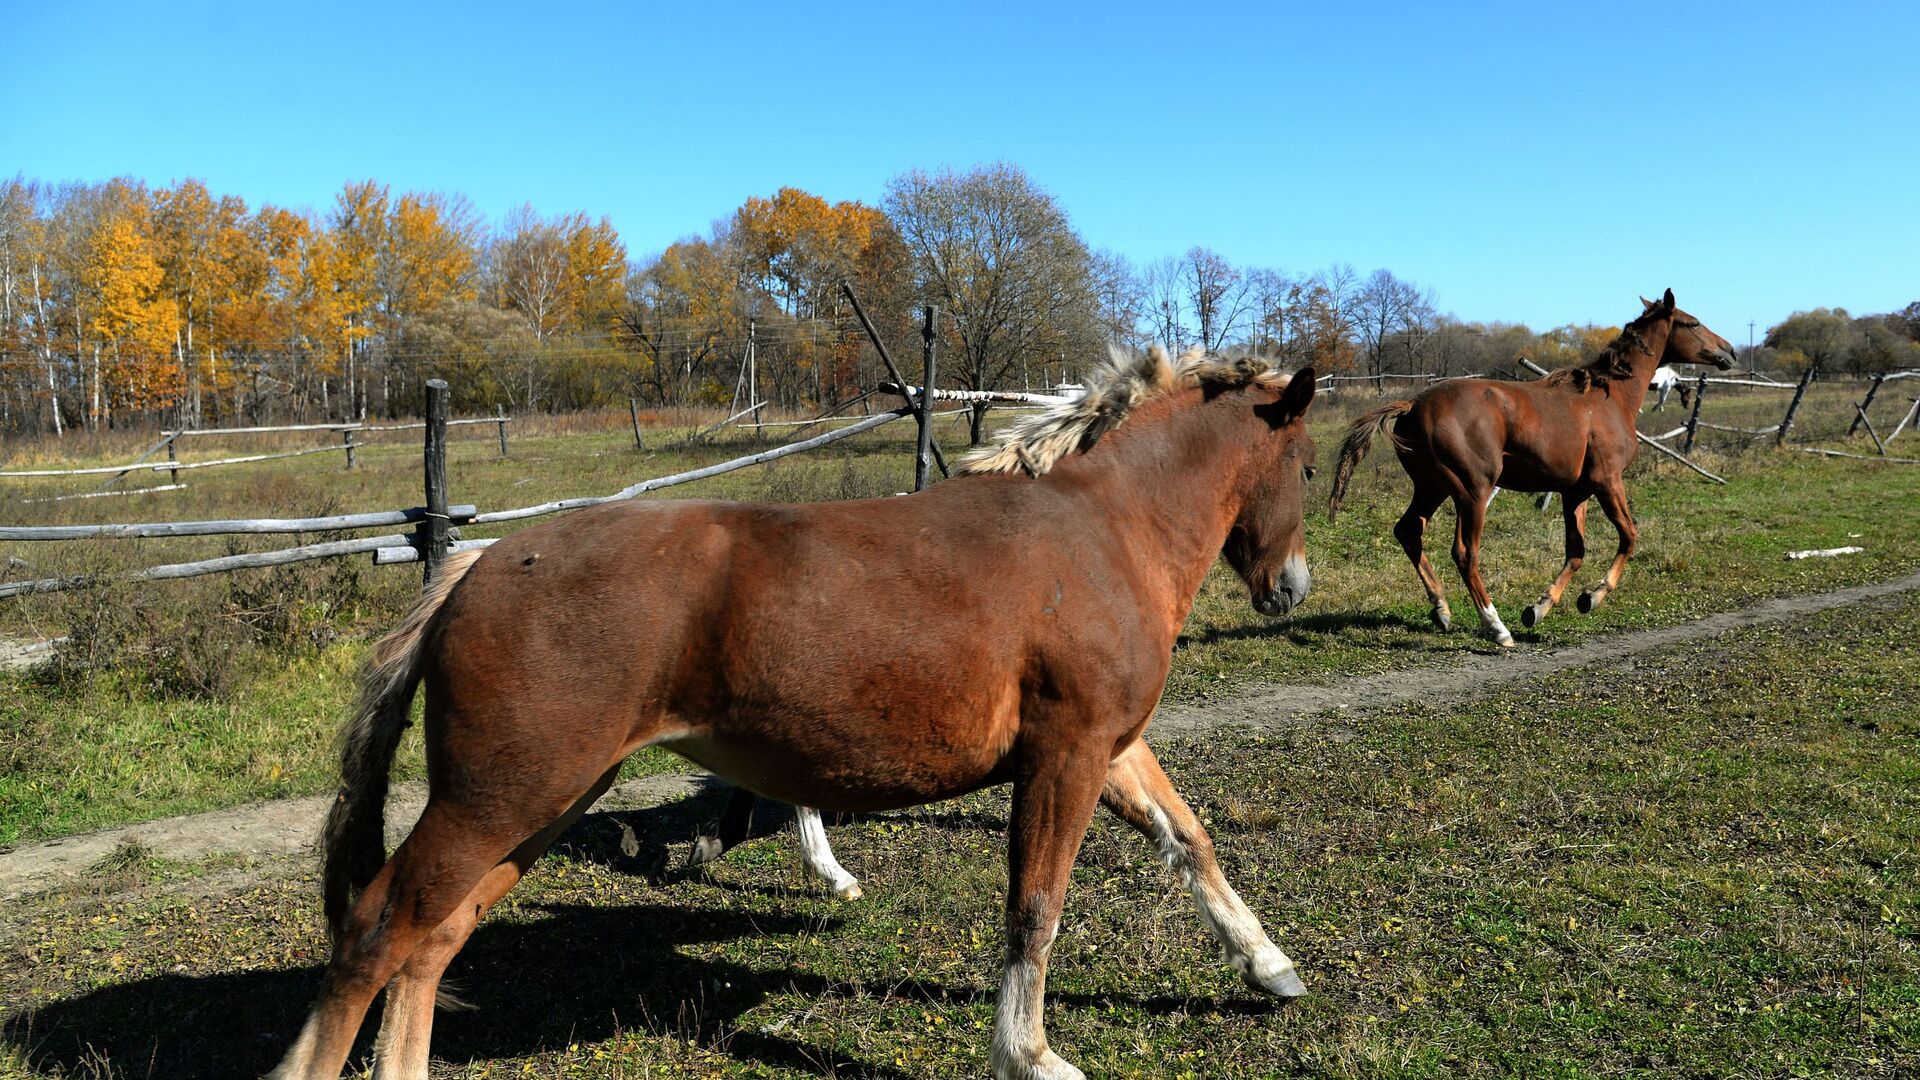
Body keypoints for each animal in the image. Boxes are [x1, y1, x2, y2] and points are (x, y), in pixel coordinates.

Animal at [270, 343, 1320, 1076]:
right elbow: (1036, 909)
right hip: (500, 799)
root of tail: (473, 570)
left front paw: (1269, 968)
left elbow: (1190, 842)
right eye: (1308, 468)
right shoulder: (1066, 755)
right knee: (373, 936)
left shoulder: (1112, 748)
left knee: (430, 944)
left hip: (538, 803)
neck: (1099, 528)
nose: (1291, 588)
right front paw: (1028, 1055)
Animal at [1328, 286, 1735, 641]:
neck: (1610, 397)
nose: (1728, 351)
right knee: (1465, 553)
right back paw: (1496, 628)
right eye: (1694, 323)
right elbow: (1629, 535)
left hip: (1432, 487)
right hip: (1472, 491)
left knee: (1409, 531)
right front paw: (1591, 598)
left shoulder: (1575, 492)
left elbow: (1576, 552)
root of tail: (1412, 405)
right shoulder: (1607, 480)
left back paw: (1441, 609)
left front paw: (1538, 609)